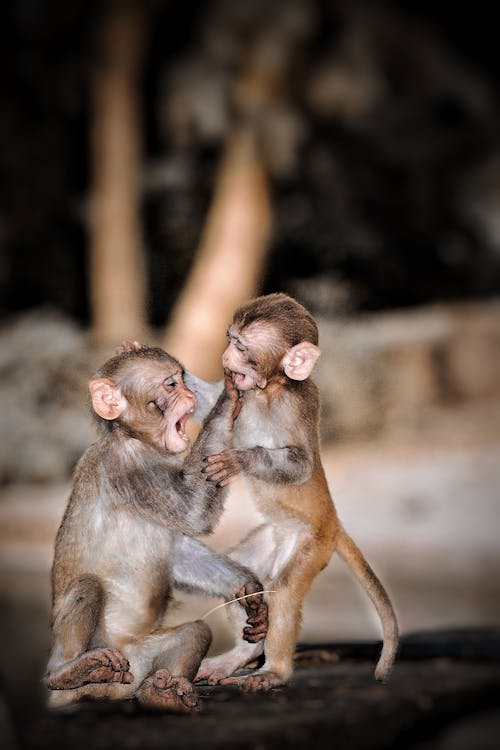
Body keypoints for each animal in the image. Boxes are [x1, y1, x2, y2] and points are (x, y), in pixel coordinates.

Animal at [45, 346, 268, 712]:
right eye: (170, 384)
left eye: (181, 380)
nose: (190, 394)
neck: (135, 438)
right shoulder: (128, 464)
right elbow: (192, 514)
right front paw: (230, 396)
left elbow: (177, 554)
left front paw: (250, 589)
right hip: (98, 659)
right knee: (88, 586)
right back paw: (71, 671)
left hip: (134, 663)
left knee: (194, 633)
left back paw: (162, 691)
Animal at [195, 294, 398, 692]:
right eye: (229, 339)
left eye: (241, 347)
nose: (225, 359)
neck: (269, 390)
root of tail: (334, 521)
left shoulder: (301, 403)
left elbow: (301, 464)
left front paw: (241, 459)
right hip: (272, 539)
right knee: (242, 580)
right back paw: (241, 654)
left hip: (311, 544)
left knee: (284, 591)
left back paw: (274, 670)